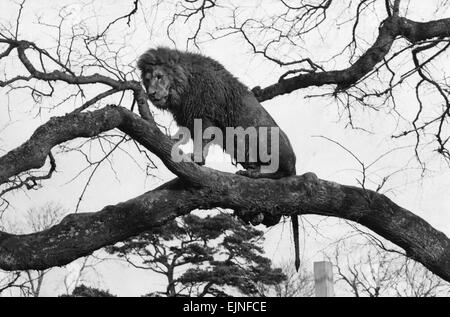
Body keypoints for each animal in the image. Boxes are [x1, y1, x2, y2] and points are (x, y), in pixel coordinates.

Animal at [137, 47, 298, 270]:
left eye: (159, 77)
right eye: (147, 79)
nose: (151, 94)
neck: (183, 87)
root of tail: (295, 163)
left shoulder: (203, 114)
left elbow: (202, 140)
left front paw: (197, 159)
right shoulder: (187, 117)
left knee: (279, 173)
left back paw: (255, 174)